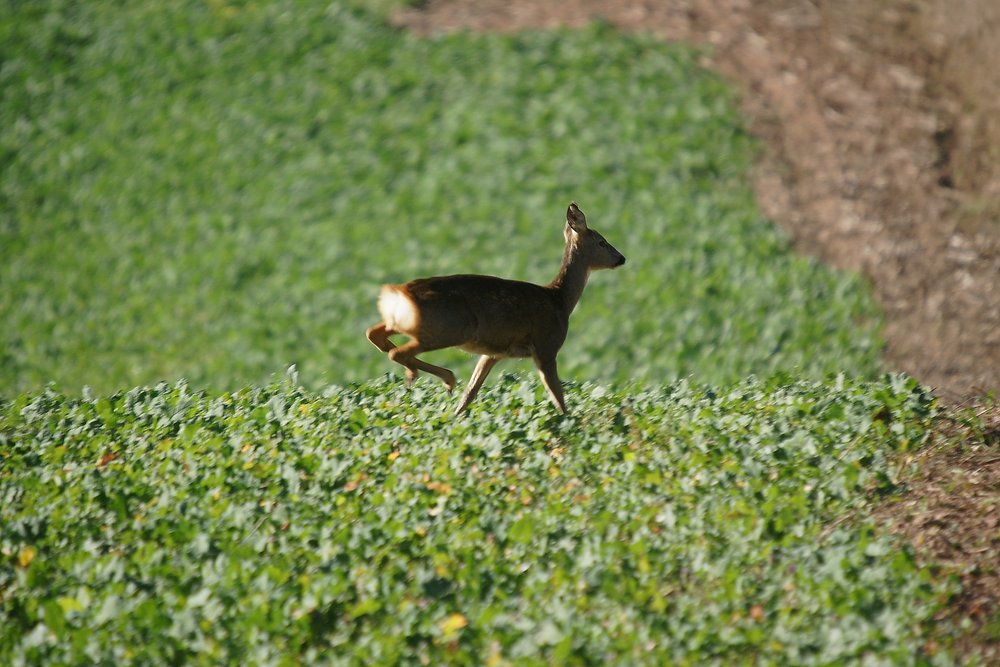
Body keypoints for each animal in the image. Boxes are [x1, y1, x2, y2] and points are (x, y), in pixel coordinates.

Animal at [366, 202, 625, 415]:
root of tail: (399, 293)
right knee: (397, 352)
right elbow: (558, 398)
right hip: (448, 329)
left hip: (409, 323)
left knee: (374, 334)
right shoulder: (546, 347)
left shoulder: (492, 353)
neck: (560, 300)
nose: (621, 258)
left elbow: (470, 393)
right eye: (602, 242)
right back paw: (443, 378)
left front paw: (455, 418)